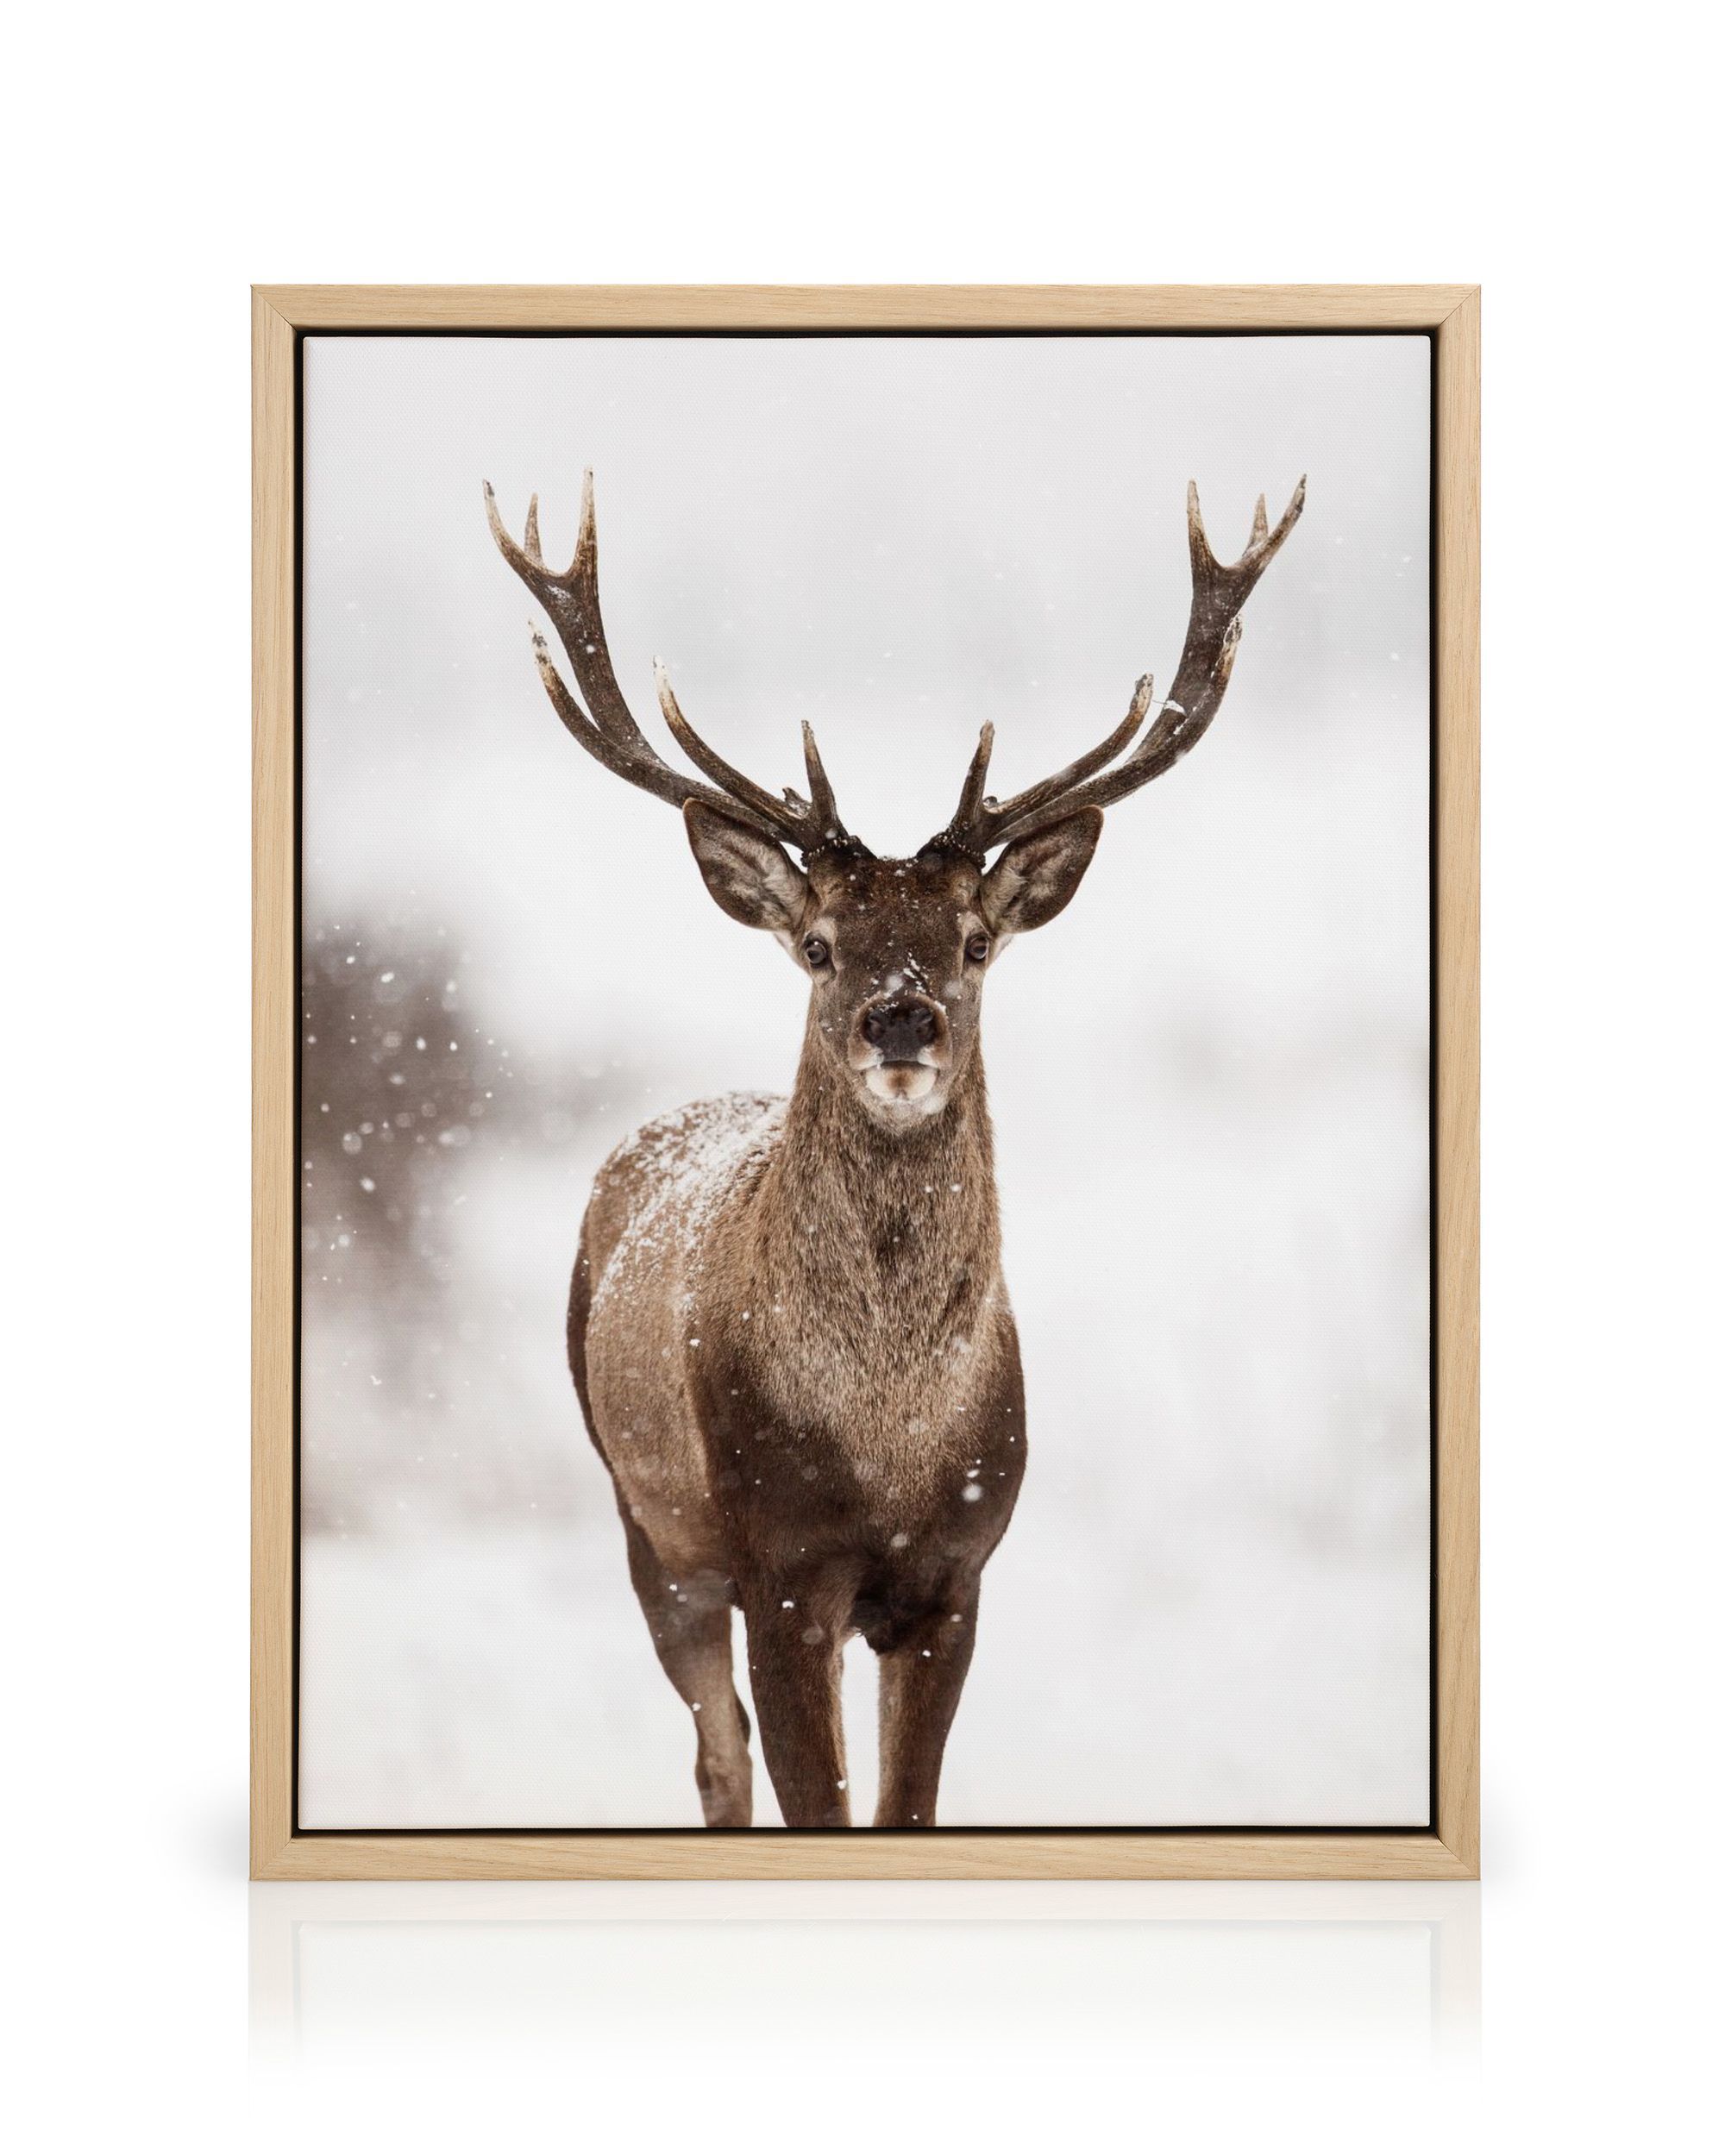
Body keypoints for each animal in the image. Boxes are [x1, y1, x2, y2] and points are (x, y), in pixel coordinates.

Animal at [484, 469, 1303, 1830]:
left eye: (973, 940)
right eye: (819, 944)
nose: (902, 1016)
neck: (886, 1441)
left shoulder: (956, 1572)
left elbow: (903, 1805)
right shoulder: (777, 1560)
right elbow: (808, 1796)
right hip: (646, 1520)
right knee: (718, 1757)